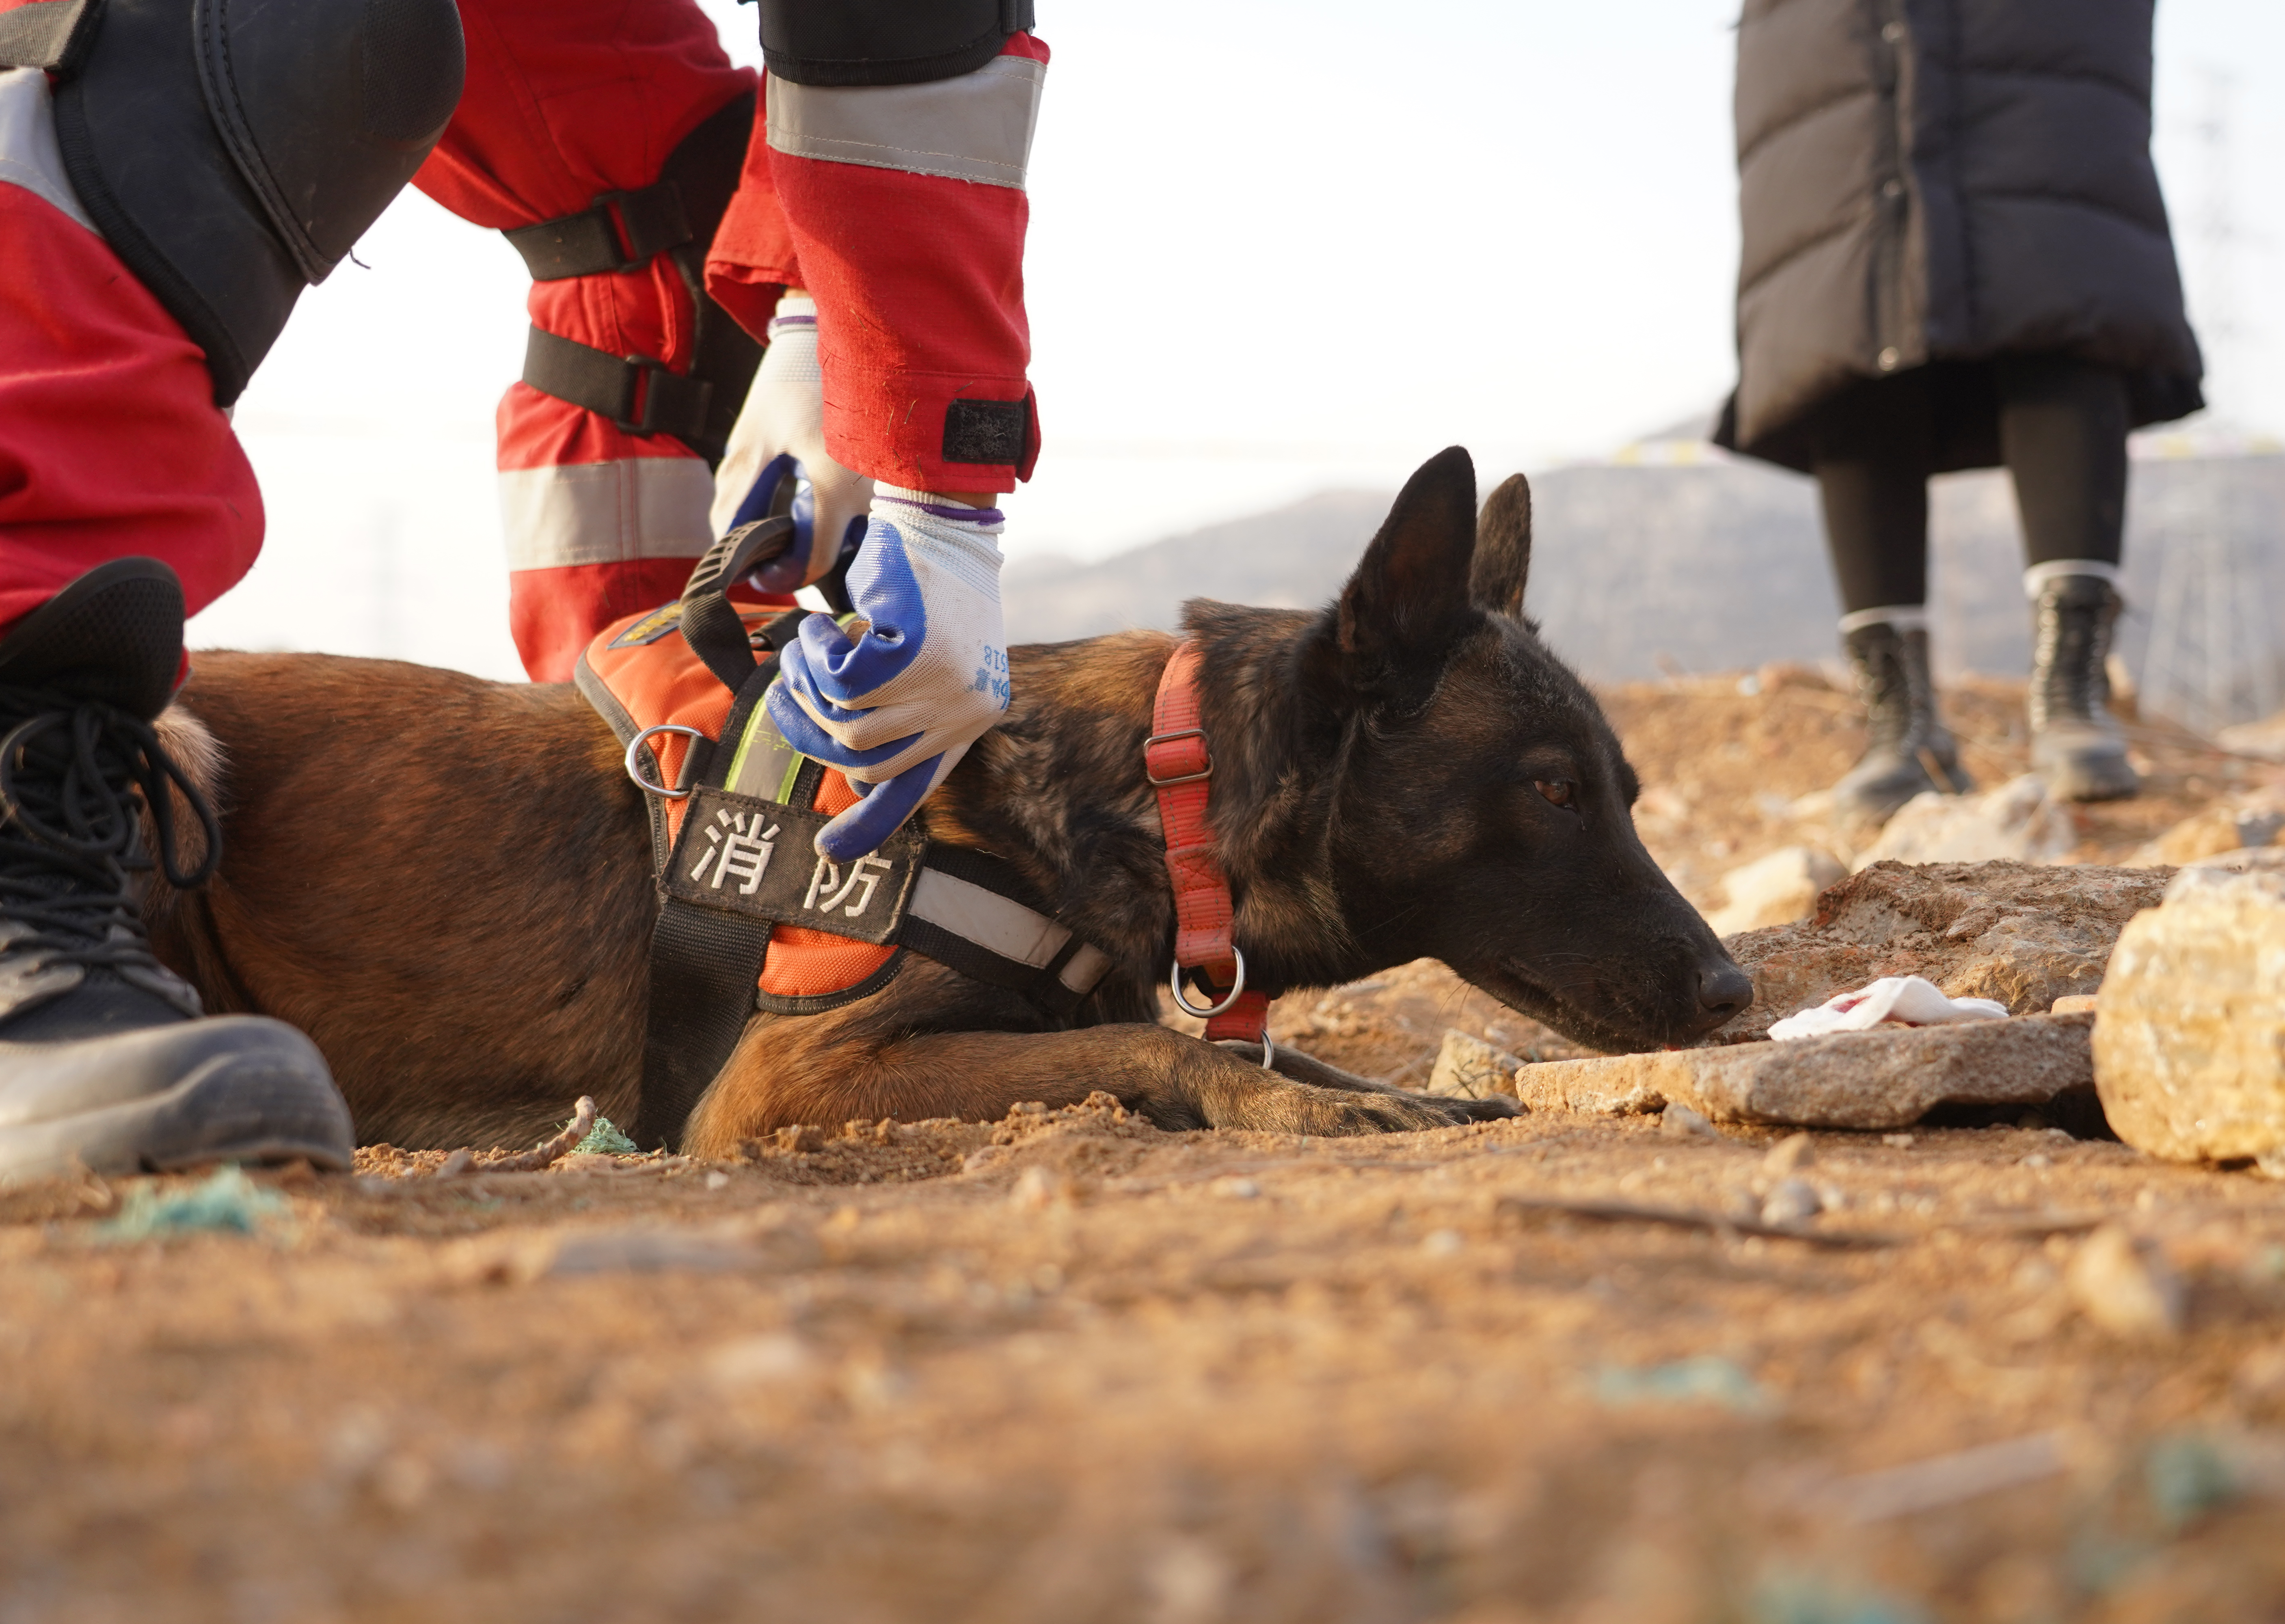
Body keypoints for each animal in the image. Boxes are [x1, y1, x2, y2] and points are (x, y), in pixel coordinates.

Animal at [143, 447, 1745, 1155]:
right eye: (1550, 790)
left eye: (1623, 788)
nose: (1733, 990)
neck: (1138, 793)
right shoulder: (786, 1080)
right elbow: (1146, 1046)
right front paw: (1276, 1097)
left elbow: (1246, 1045)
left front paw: (1393, 1086)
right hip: (173, 752)